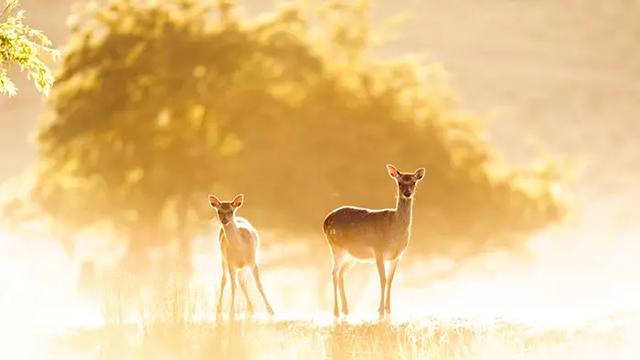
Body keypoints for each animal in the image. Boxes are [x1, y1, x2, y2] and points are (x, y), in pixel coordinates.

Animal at [324, 164, 424, 318]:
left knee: (341, 274)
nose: (407, 193)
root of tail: (325, 222)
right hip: (336, 247)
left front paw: (389, 309)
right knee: (334, 273)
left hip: (351, 256)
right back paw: (336, 311)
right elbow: (382, 280)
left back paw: (346, 309)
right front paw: (381, 310)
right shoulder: (378, 250)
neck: (394, 231)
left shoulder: (397, 256)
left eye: (414, 182)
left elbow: (390, 281)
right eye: (399, 183)